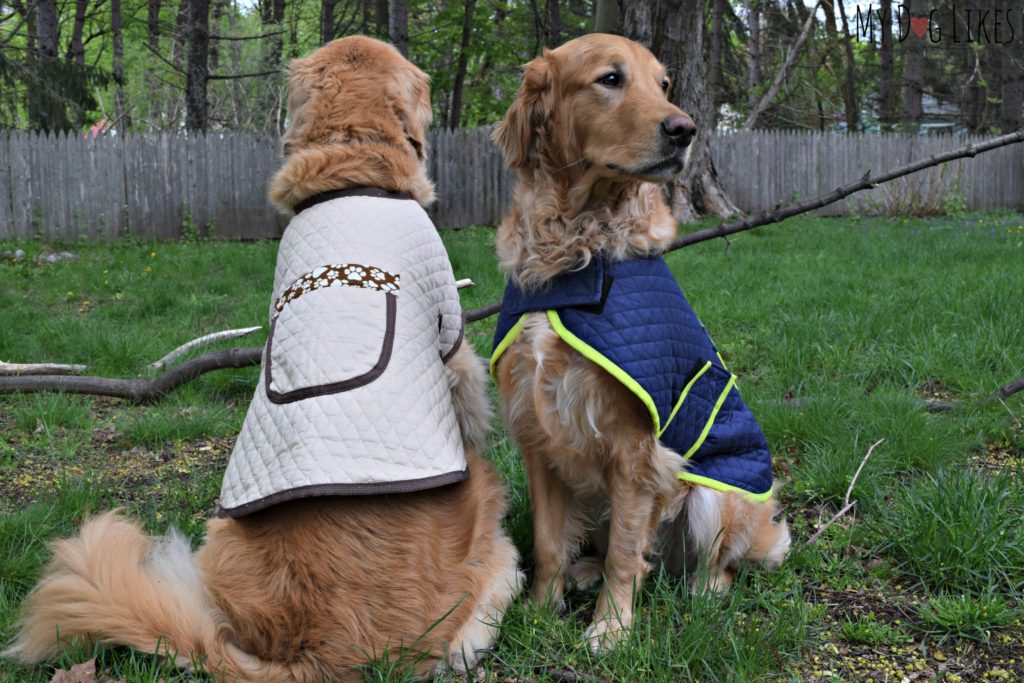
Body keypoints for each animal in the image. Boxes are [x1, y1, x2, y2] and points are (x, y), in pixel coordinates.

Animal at [489, 34, 790, 655]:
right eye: (610, 78)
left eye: (664, 84)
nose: (685, 129)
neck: (575, 252)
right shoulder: (537, 433)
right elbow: (550, 542)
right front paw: (542, 609)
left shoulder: (634, 448)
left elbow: (628, 552)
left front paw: (611, 630)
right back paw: (583, 572)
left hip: (714, 493)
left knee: (708, 562)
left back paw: (703, 590)